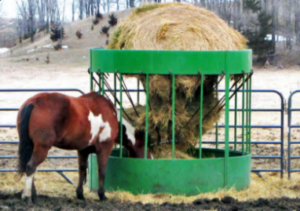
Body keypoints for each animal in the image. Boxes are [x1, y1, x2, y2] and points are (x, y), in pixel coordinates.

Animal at [16, 91, 151, 204]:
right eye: (147, 146)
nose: (150, 158)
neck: (111, 116)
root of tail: (32, 103)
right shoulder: (104, 148)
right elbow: (102, 170)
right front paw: (102, 195)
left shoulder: (83, 150)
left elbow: (81, 170)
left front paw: (80, 194)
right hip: (42, 148)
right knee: (31, 166)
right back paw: (27, 196)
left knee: (30, 167)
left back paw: (33, 195)